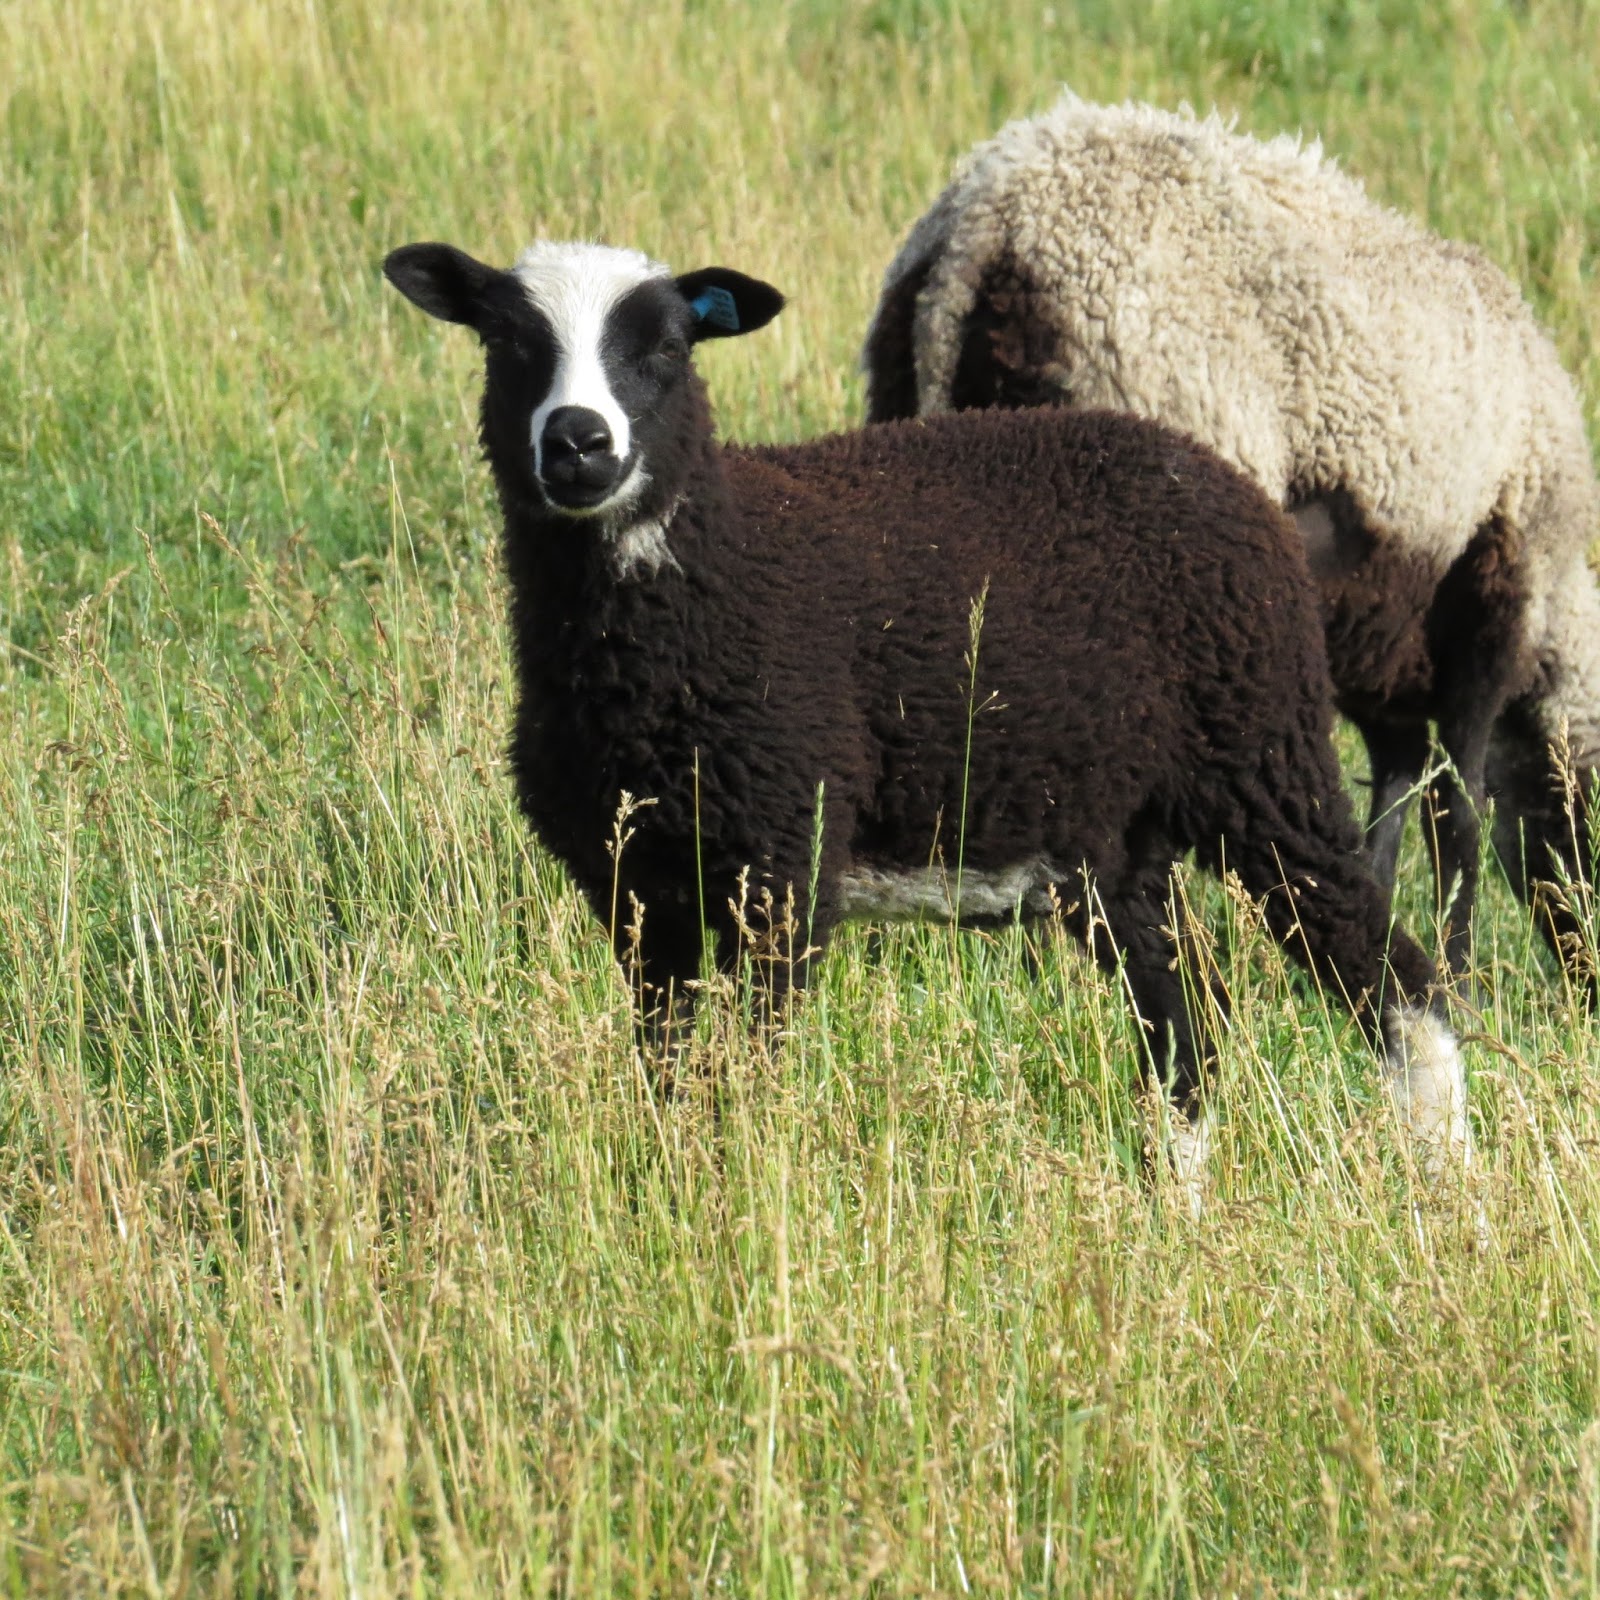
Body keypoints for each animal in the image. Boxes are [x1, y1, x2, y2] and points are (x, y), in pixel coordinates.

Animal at [382, 233, 1473, 1199]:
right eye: (505, 342)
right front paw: (674, 1202)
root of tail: (1234, 487)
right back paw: (1179, 1218)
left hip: (1261, 754)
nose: (578, 442)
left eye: (666, 346)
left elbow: (746, 1081)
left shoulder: (784, 858)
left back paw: (1451, 1196)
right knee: (1185, 1028)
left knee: (1395, 983)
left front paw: (739, 1212)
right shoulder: (635, 888)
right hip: (1113, 844)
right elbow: (669, 1078)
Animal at [862, 93, 1600, 995]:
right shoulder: (1494, 599)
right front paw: (1455, 976)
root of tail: (983, 229)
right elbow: (1457, 815)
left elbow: (1394, 804)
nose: (1587, 981)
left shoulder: (1383, 653)